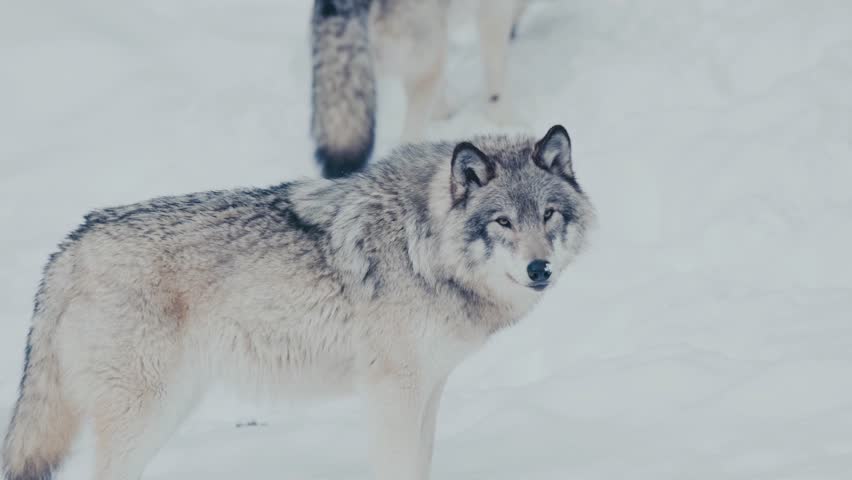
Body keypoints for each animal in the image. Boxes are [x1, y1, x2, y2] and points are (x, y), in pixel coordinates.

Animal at [2, 125, 594, 480]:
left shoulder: (428, 388)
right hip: (146, 414)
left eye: (548, 215)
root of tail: (70, 246)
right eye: (503, 222)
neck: (421, 245)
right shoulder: (393, 392)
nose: (539, 269)